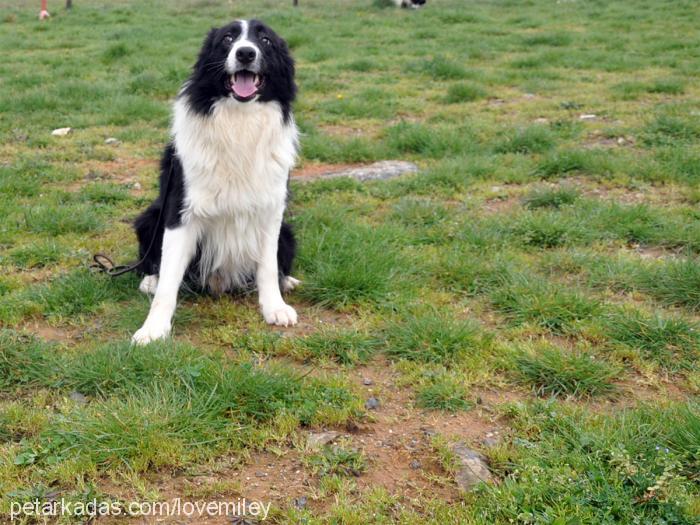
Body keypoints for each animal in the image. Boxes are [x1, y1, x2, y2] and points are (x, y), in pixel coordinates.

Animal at [133, 19, 300, 344]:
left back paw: (287, 281)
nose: (246, 53)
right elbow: (169, 279)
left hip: (287, 232)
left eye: (265, 40)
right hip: (150, 217)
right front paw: (153, 328)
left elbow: (267, 266)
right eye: (227, 39)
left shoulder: (272, 211)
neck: (239, 121)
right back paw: (149, 280)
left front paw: (274, 307)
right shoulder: (180, 213)